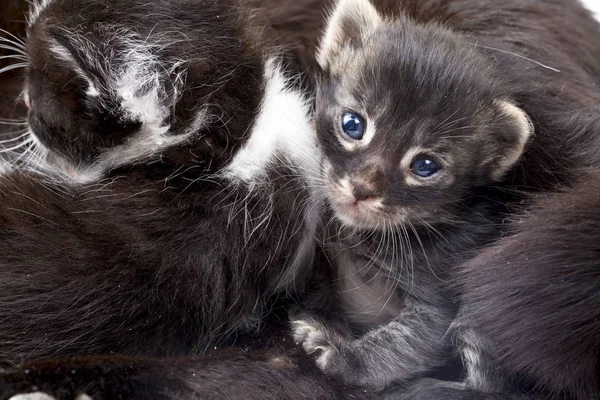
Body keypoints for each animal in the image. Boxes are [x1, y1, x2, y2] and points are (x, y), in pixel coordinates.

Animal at [292, 0, 600, 396]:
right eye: (352, 125)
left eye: (425, 166)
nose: (362, 189)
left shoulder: (441, 295)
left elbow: (403, 345)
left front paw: (342, 355)